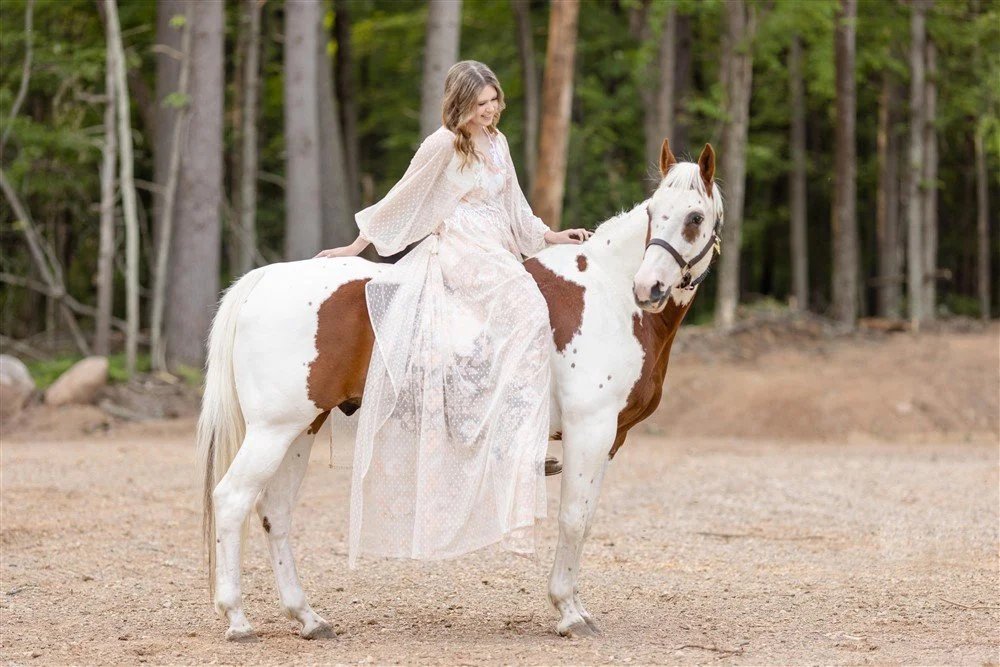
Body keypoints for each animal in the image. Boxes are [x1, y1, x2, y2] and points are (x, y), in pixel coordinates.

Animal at [199, 140, 724, 640]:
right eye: (655, 213)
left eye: (694, 217)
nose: (648, 287)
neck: (607, 295)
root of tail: (267, 277)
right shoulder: (589, 430)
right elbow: (574, 519)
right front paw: (569, 613)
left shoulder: (609, 439)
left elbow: (585, 517)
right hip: (273, 430)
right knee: (231, 500)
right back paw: (238, 618)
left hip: (302, 428)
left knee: (275, 512)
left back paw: (307, 617)